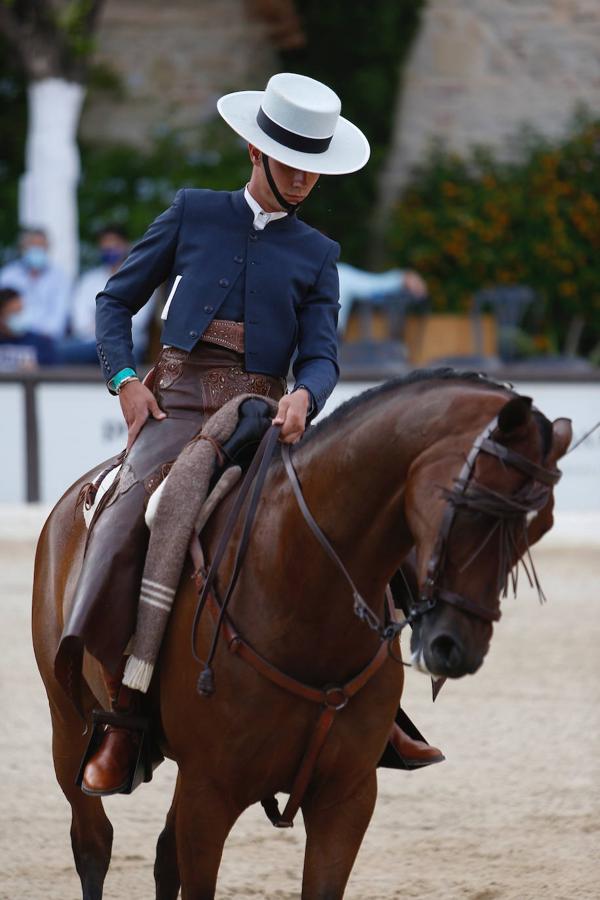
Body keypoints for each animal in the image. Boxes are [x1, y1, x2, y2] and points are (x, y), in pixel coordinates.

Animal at [32, 370, 572, 896]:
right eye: (472, 504)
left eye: (539, 526)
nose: (456, 648)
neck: (296, 582)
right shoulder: (209, 793)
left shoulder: (347, 797)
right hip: (67, 724)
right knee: (94, 844)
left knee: (164, 857)